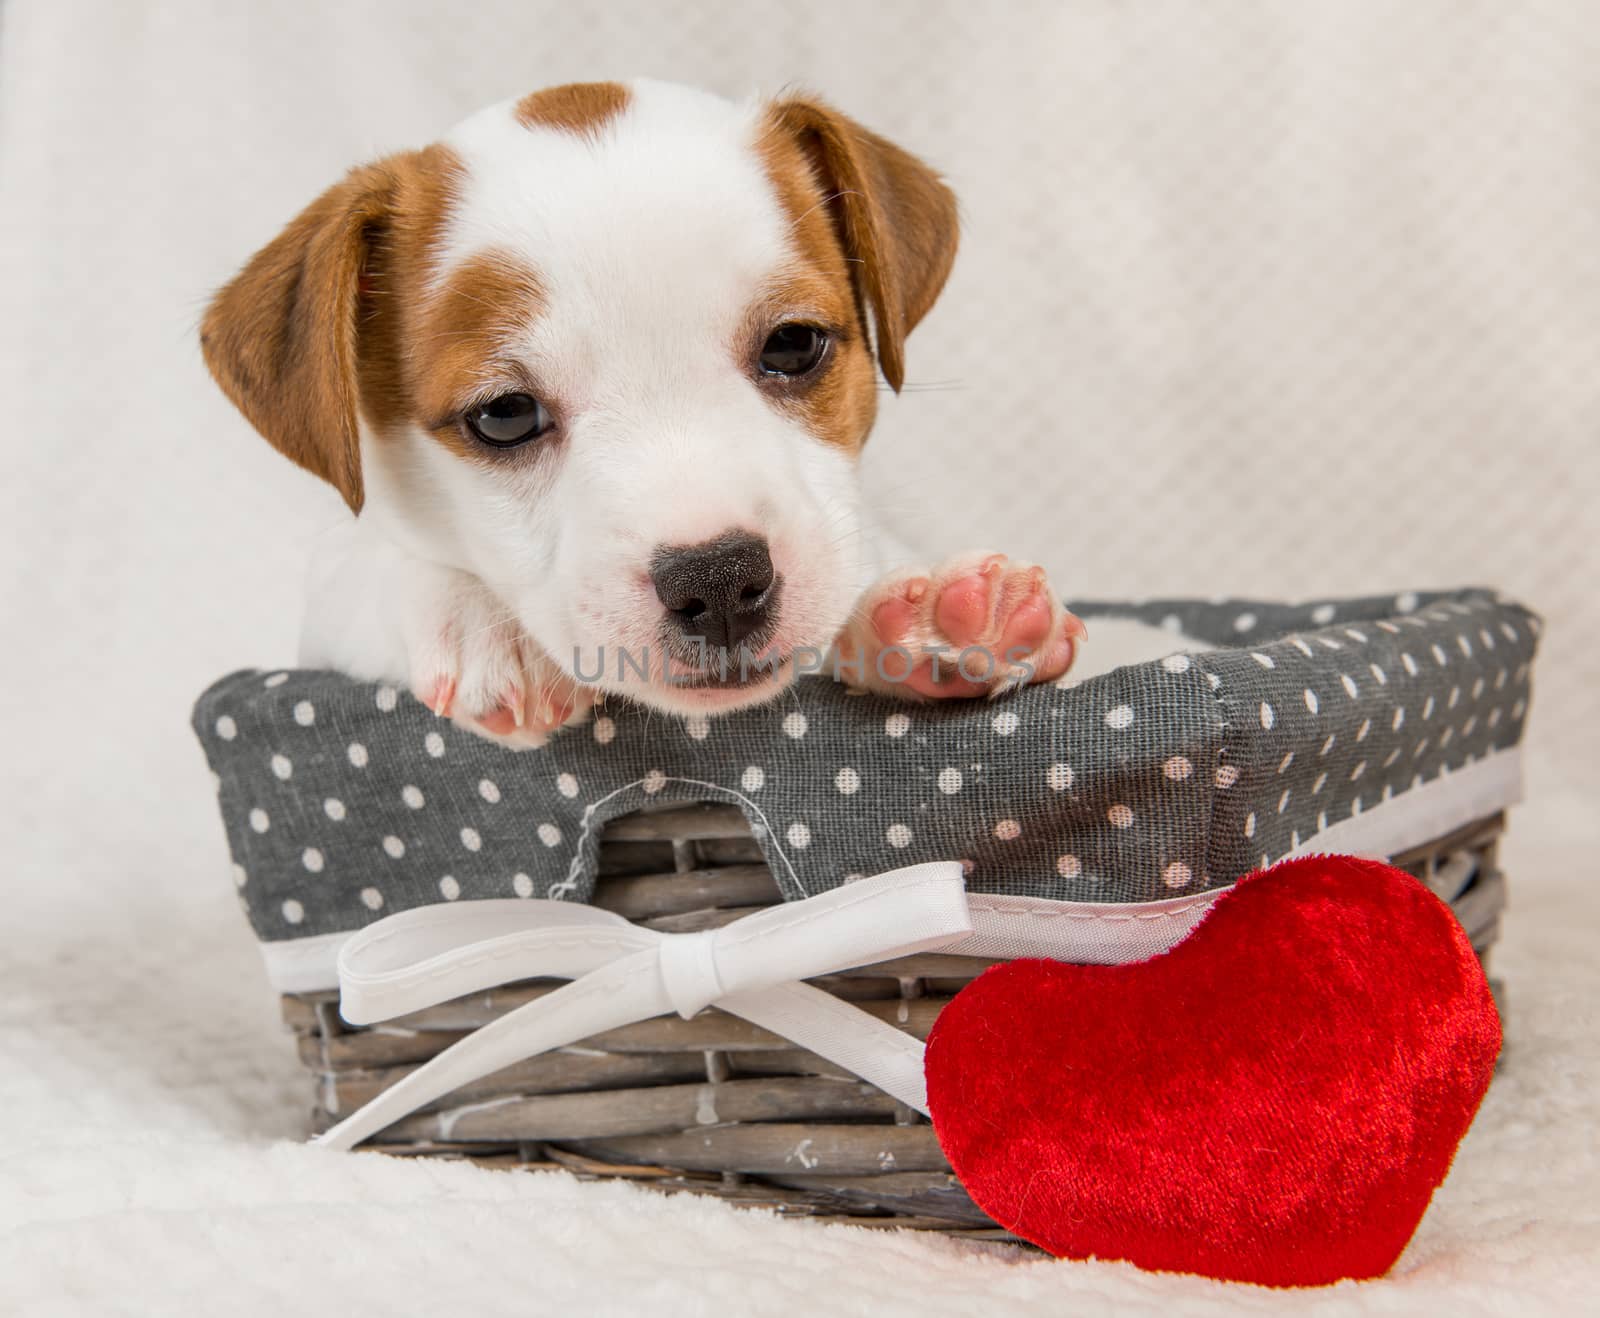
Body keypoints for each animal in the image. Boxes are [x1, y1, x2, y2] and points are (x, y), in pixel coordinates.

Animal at [206, 77, 1171, 745]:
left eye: (794, 344)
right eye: (505, 415)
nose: (717, 579)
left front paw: (942, 621)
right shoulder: (322, 612)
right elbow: (368, 562)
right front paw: (485, 627)